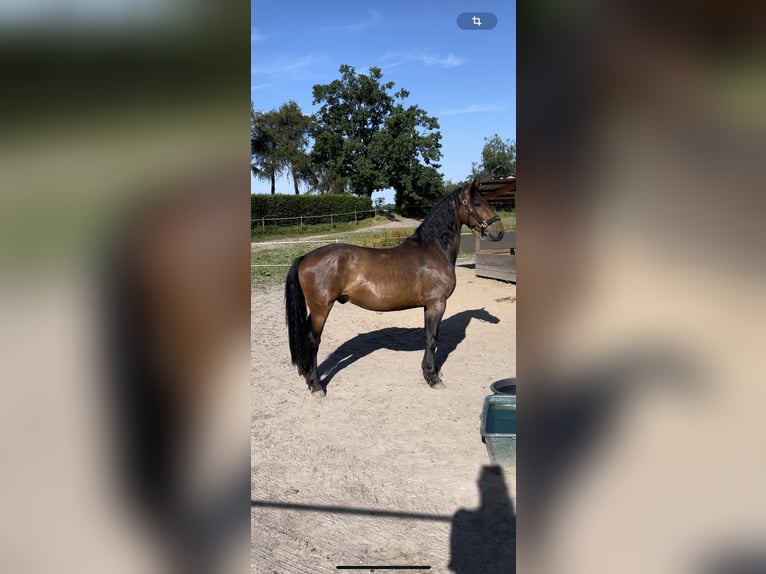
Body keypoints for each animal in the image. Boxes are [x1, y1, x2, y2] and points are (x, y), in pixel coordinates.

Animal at [284, 180, 505, 396]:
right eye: (478, 204)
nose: (500, 232)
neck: (434, 249)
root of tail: (305, 257)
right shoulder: (437, 304)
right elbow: (432, 340)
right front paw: (433, 378)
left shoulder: (428, 306)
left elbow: (428, 338)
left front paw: (430, 372)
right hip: (321, 309)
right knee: (312, 341)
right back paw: (317, 386)